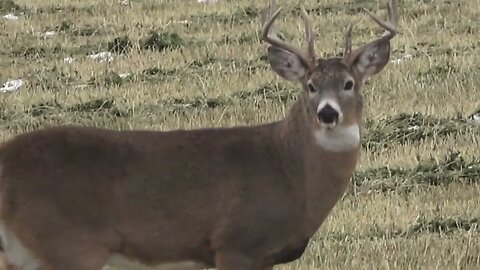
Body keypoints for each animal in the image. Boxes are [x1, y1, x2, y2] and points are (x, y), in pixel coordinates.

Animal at [0, 1, 398, 268]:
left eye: (349, 84)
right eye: (310, 86)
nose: (327, 113)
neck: (290, 170)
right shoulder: (237, 243)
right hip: (69, 243)